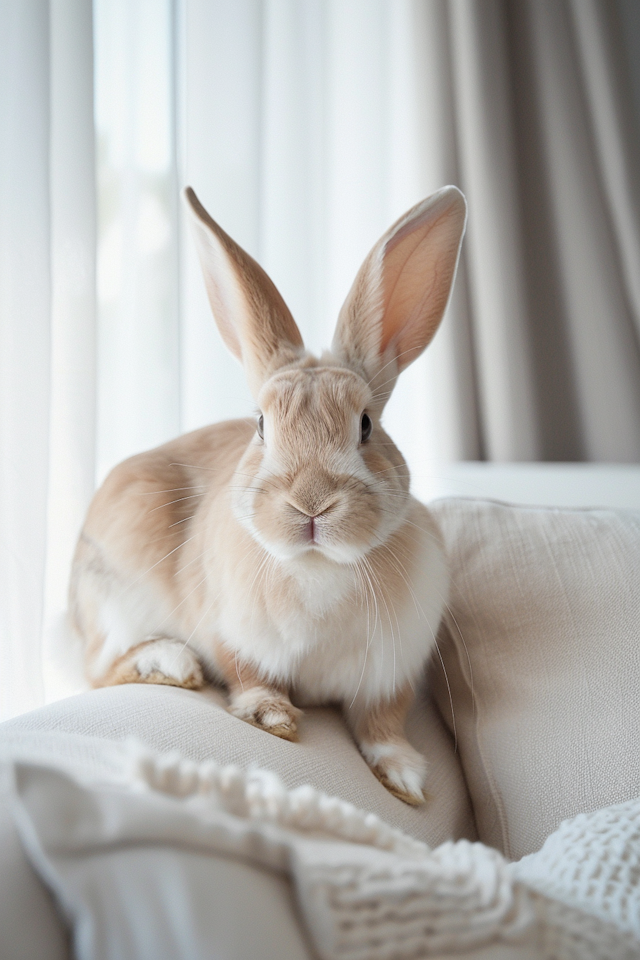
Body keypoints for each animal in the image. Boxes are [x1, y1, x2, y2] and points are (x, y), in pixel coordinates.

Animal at [70, 186, 468, 804]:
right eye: (261, 426)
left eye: (365, 426)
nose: (311, 503)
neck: (318, 566)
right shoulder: (231, 636)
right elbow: (248, 677)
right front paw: (272, 717)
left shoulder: (388, 674)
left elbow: (383, 723)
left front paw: (404, 777)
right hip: (119, 592)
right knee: (98, 668)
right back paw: (171, 663)